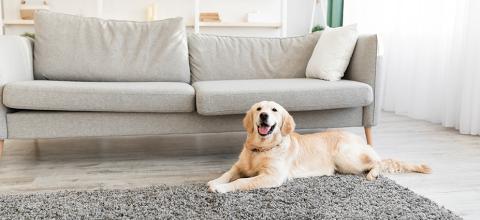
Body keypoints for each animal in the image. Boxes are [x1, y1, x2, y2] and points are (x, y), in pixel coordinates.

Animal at [208, 100, 434, 193]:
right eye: (258, 109)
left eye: (274, 110)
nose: (263, 116)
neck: (261, 148)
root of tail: (359, 140)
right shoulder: (239, 166)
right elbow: (228, 173)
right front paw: (215, 181)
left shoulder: (271, 176)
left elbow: (241, 182)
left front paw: (221, 188)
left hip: (345, 156)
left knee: (378, 162)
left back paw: (372, 174)